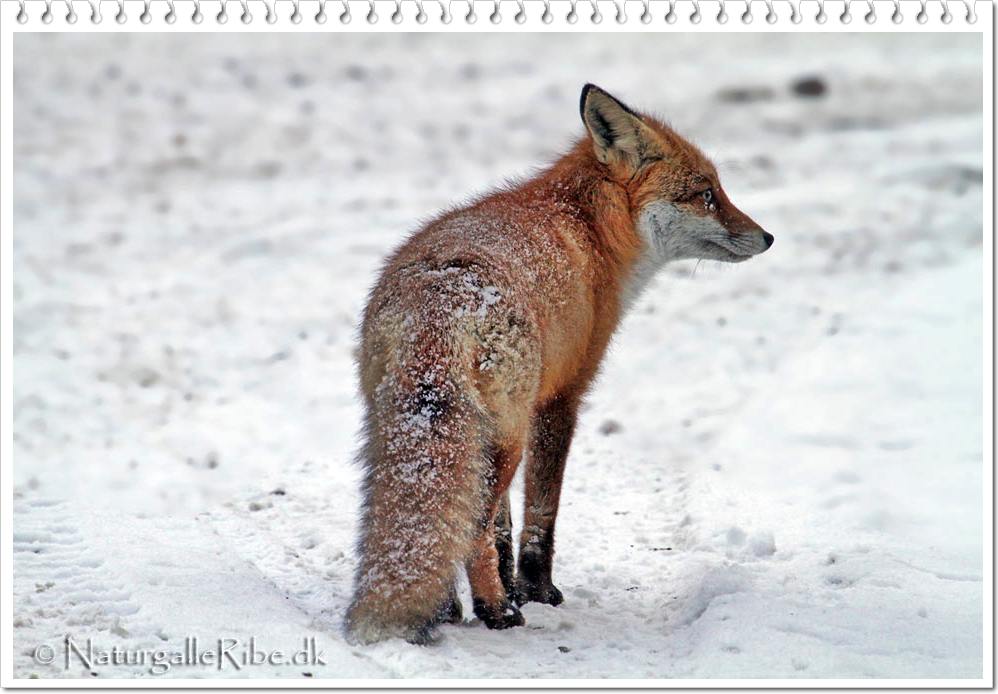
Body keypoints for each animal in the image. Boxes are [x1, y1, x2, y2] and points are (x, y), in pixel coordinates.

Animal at [344, 85, 772, 648]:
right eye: (706, 194)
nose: (767, 237)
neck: (588, 228)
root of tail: (440, 303)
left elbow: (503, 527)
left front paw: (507, 586)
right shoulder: (562, 395)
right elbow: (540, 513)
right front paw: (534, 590)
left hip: (417, 425)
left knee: (456, 521)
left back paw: (445, 608)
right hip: (502, 437)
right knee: (472, 527)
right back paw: (497, 611)